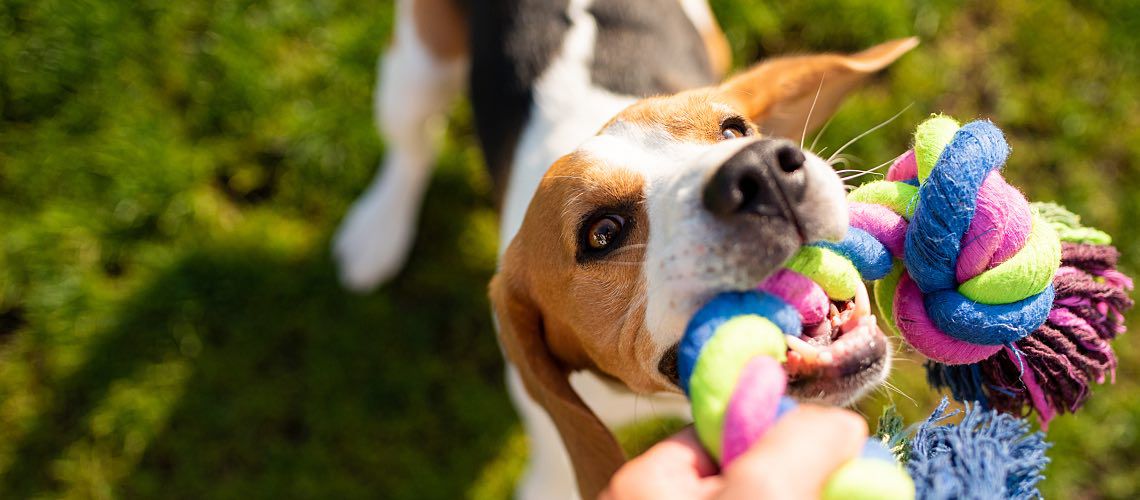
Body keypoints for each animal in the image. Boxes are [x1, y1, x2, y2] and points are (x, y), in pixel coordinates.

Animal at [335, 0, 916, 496]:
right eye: (603, 233)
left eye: (734, 131)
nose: (763, 172)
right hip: (418, 67)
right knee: (412, 143)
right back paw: (378, 230)